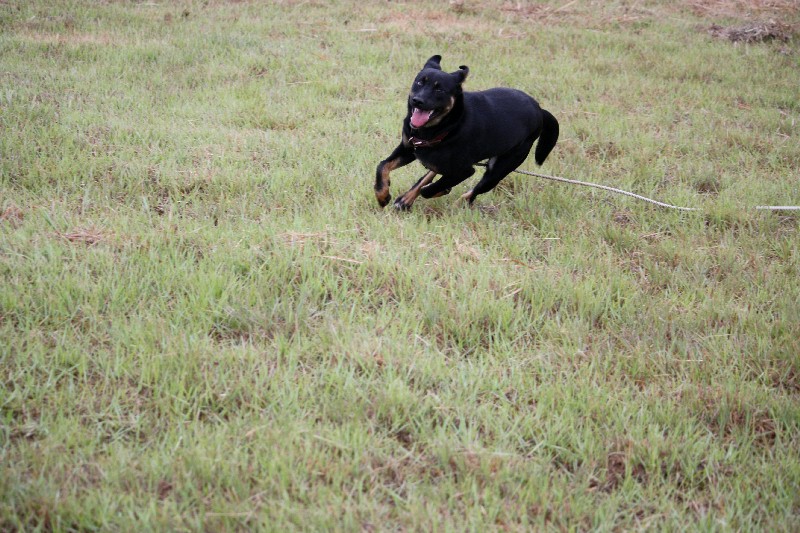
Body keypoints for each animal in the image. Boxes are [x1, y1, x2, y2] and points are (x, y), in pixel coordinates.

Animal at [376, 54, 556, 210]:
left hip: (500, 168)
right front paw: (382, 195)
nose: (417, 101)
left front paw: (442, 190)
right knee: (430, 173)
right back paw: (406, 200)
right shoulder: (408, 148)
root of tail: (540, 110)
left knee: (473, 191)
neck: (444, 127)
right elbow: (383, 166)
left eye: (440, 90)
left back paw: (458, 202)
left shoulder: (464, 170)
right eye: (419, 83)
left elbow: (429, 189)